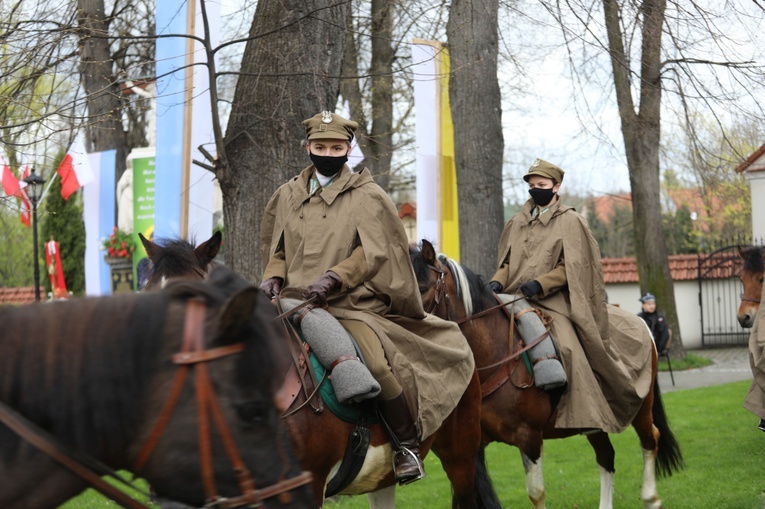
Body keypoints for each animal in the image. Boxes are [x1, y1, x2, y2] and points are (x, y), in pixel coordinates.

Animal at [408, 241, 684, 508]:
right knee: (606, 457)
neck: (497, 354)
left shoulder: (528, 437)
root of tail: (642, 325)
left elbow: (536, 492)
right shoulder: (468, 448)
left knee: (650, 440)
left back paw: (651, 498)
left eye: (422, 288)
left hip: (641, 408)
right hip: (595, 420)